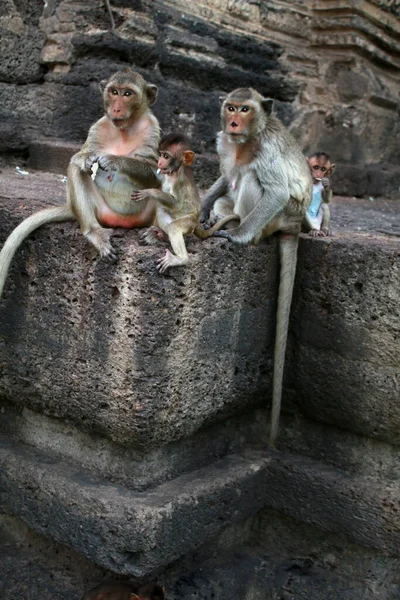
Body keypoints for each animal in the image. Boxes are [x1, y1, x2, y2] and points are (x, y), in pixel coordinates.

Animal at [0, 69, 160, 298]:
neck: (124, 129)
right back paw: (95, 233)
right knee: (75, 171)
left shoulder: (152, 128)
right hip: (100, 211)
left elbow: (154, 172)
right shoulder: (98, 127)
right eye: (114, 92)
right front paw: (86, 159)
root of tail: (121, 222)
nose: (116, 108)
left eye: (128, 93)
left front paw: (114, 160)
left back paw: (156, 235)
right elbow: (78, 159)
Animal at [131, 132, 239, 274]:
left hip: (189, 222)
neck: (173, 173)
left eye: (166, 156)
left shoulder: (179, 182)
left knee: (174, 226)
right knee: (161, 209)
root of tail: (196, 222)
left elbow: (176, 204)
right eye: (160, 154)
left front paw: (150, 192)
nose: (160, 162)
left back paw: (181, 259)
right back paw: (162, 235)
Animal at [200, 88, 312, 446]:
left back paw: (240, 227)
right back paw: (219, 214)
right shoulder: (223, 142)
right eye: (231, 108)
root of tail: (294, 225)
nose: (234, 121)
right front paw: (204, 205)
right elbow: (224, 176)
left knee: (251, 178)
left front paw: (238, 237)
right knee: (232, 185)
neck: (246, 140)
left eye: (245, 110)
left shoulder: (269, 152)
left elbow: (275, 190)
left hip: (279, 216)